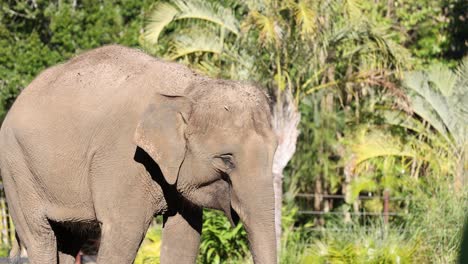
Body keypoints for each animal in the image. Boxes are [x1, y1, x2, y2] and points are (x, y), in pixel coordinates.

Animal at [0, 46, 278, 264]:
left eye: (275, 151)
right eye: (226, 159)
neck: (188, 88)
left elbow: (185, 235)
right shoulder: (123, 158)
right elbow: (124, 231)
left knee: (69, 239)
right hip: (16, 170)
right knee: (41, 238)